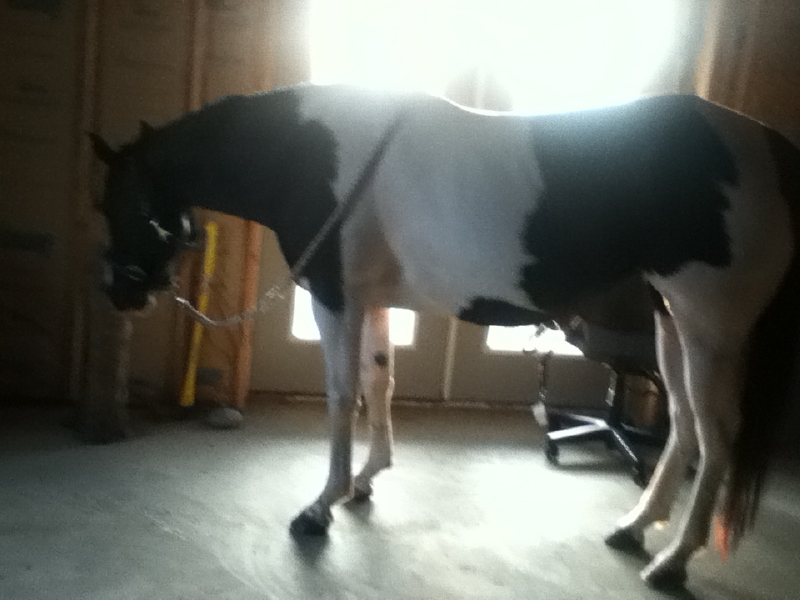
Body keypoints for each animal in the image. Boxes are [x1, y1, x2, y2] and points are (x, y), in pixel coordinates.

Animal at [90, 83, 800, 589]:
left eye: (112, 203)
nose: (117, 292)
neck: (308, 153)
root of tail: (766, 145)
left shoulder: (334, 297)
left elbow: (341, 395)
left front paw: (320, 507)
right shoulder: (372, 301)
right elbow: (378, 382)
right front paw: (364, 481)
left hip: (709, 330)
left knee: (717, 436)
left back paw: (674, 560)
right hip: (671, 322)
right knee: (683, 424)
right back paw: (635, 527)